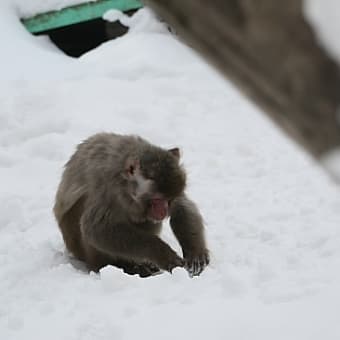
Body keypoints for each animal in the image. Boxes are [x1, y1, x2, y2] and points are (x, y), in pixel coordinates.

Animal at [53, 131, 210, 278]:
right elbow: (96, 228)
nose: (163, 212)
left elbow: (181, 207)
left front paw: (195, 254)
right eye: (157, 200)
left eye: (168, 200)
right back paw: (124, 266)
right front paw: (163, 254)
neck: (126, 187)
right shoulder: (108, 189)